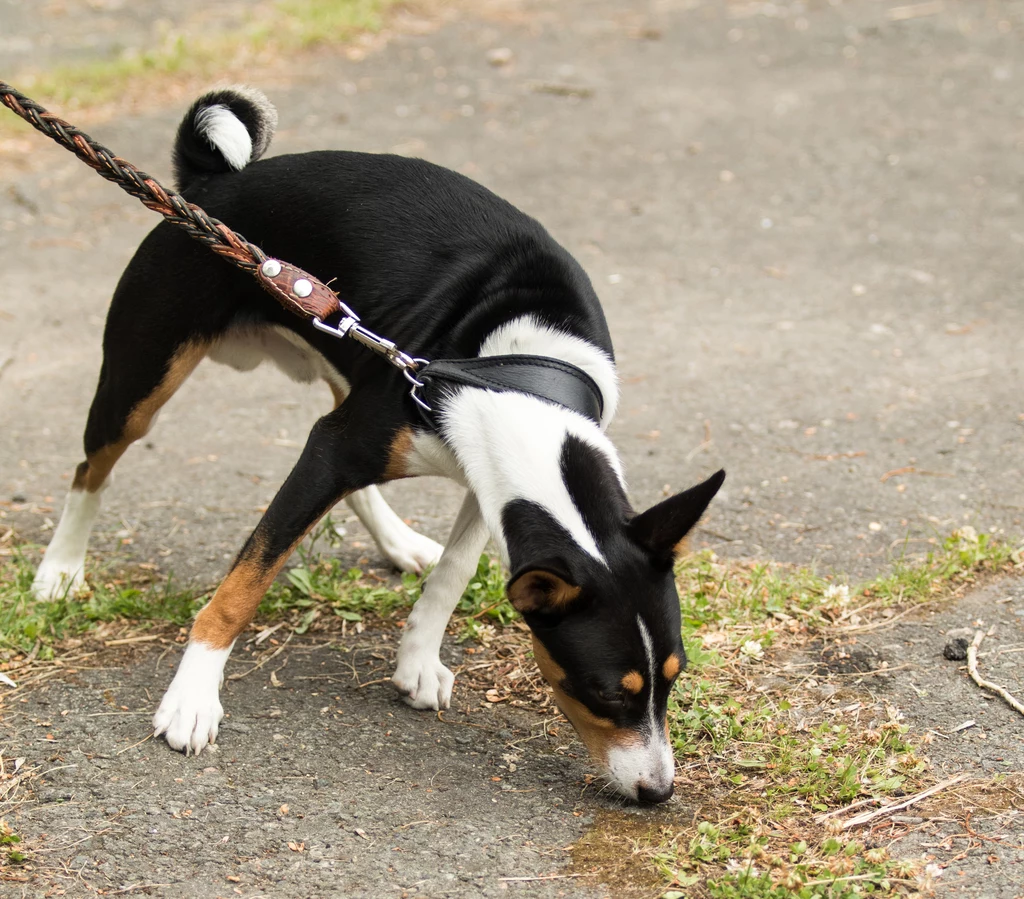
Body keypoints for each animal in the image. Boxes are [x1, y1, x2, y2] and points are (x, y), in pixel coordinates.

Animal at [29, 88, 720, 806]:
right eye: (607, 690)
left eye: (674, 677)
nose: (659, 791)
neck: (519, 377)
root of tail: (210, 183)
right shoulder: (336, 450)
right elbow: (242, 586)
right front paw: (192, 697)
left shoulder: (478, 479)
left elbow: (454, 573)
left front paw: (417, 660)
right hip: (141, 380)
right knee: (92, 465)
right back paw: (61, 569)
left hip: (344, 364)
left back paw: (400, 543)